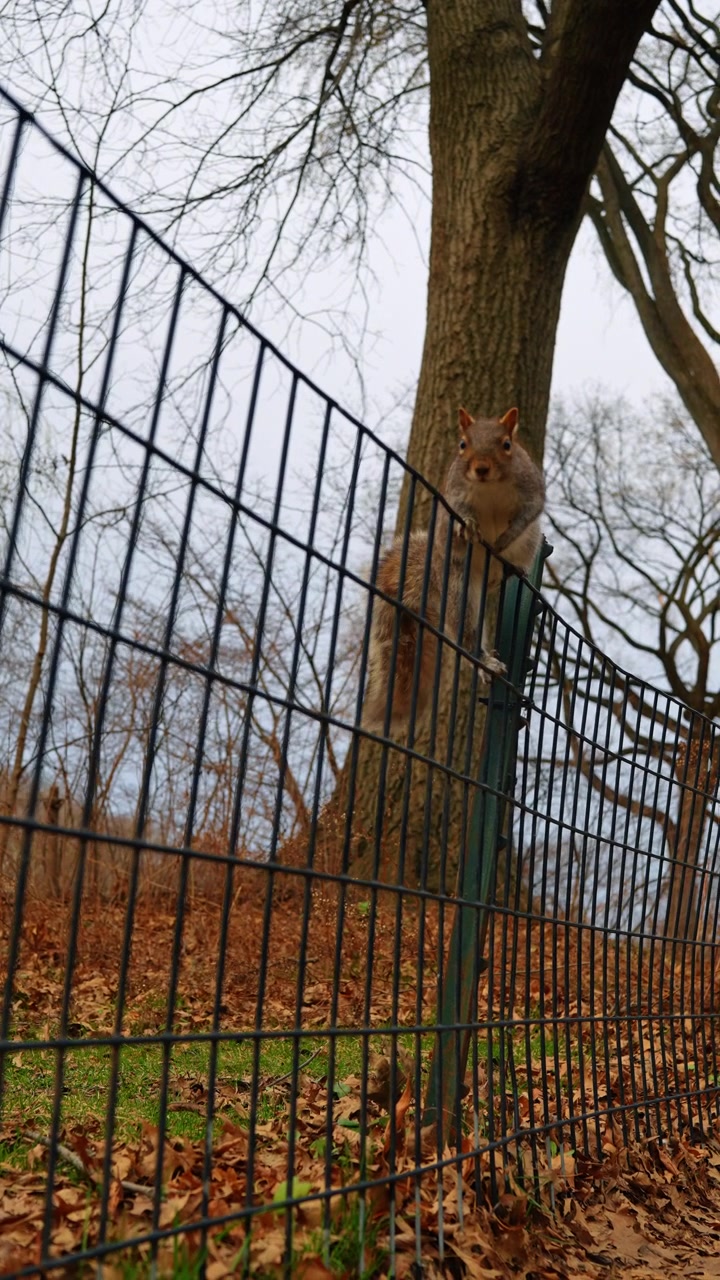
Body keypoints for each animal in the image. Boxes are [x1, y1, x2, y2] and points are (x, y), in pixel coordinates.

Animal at [362, 406, 544, 735]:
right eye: (462, 444)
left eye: (507, 445)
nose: (481, 468)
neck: (490, 486)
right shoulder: (455, 493)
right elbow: (461, 512)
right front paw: (468, 527)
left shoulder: (532, 490)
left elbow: (528, 515)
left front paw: (503, 540)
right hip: (458, 582)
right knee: (466, 630)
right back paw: (486, 663)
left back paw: (516, 569)